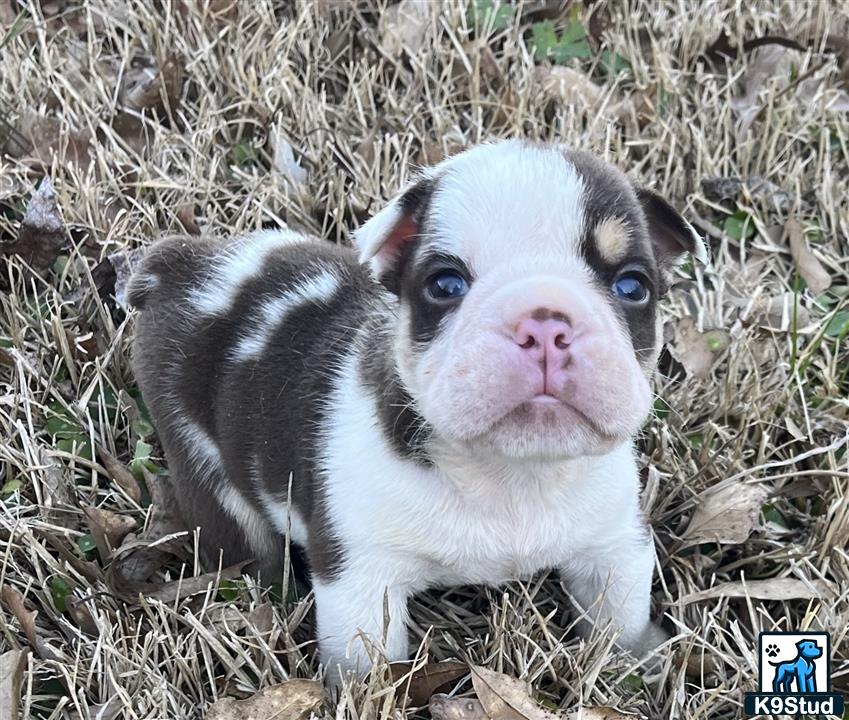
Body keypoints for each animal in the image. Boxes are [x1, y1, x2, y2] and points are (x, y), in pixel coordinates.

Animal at [129, 139, 704, 680]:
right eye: (444, 284)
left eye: (632, 285)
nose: (544, 322)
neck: (512, 474)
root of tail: (185, 268)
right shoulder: (362, 575)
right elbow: (366, 659)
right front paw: (365, 691)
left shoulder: (613, 543)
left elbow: (619, 612)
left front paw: (638, 659)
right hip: (203, 466)